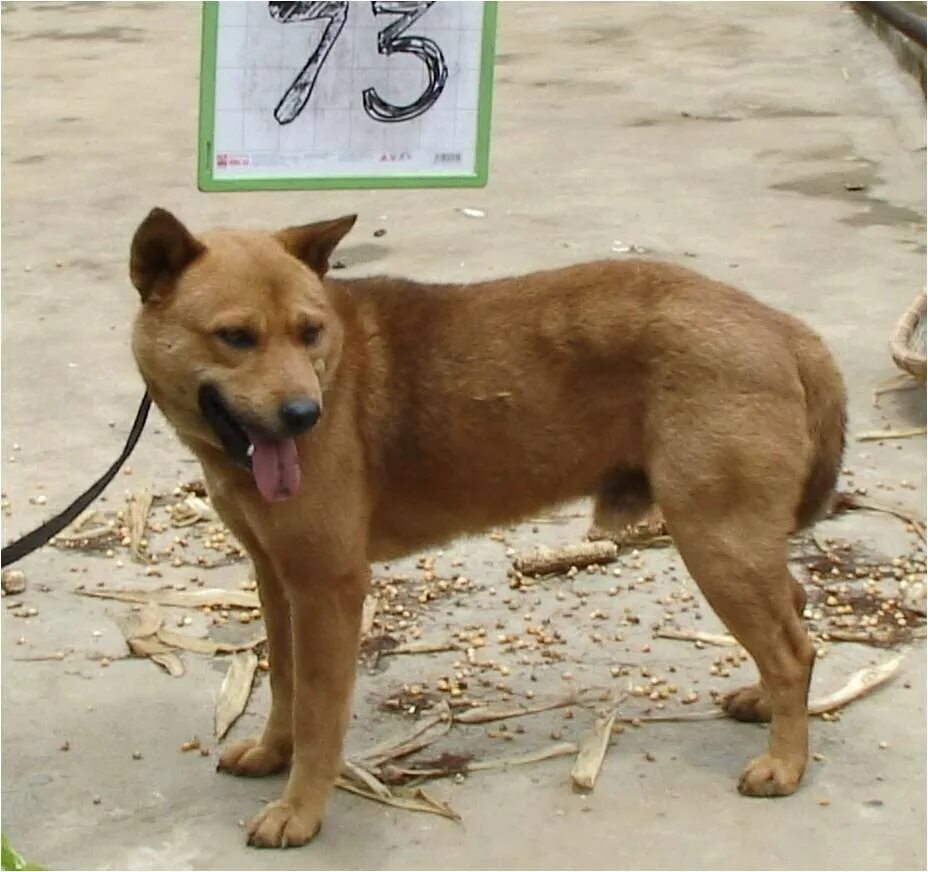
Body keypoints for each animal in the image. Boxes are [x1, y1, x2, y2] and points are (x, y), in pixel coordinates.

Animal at [130, 208, 848, 848]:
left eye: (310, 332)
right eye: (235, 337)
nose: (307, 414)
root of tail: (783, 328)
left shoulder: (328, 589)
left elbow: (317, 712)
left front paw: (301, 811)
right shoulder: (277, 579)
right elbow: (283, 680)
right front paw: (272, 753)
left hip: (715, 542)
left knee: (791, 649)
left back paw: (785, 763)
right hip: (737, 543)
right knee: (794, 612)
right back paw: (765, 703)